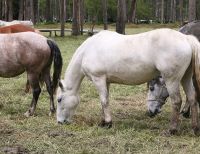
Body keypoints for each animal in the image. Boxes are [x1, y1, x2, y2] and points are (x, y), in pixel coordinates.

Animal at [55, 28, 200, 135]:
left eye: (59, 99)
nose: (60, 122)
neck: (88, 50)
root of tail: (186, 38)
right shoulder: (106, 82)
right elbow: (104, 101)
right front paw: (103, 121)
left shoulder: (98, 79)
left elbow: (104, 101)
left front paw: (108, 123)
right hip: (185, 78)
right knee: (192, 98)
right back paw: (195, 128)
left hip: (172, 80)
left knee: (176, 101)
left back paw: (172, 130)